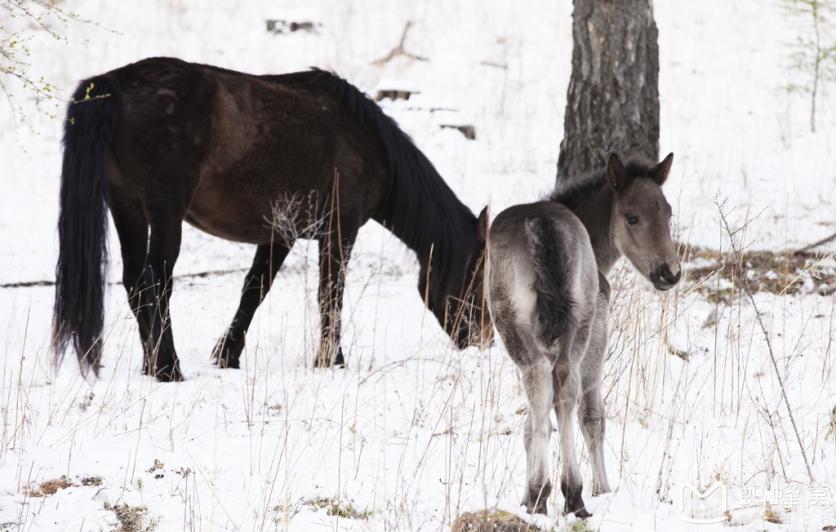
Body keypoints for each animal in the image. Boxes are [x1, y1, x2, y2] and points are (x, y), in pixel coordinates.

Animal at [52, 56, 494, 380]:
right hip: (164, 214)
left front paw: (227, 355)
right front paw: (331, 361)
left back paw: (151, 366)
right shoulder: (340, 230)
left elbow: (254, 290)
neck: (364, 140)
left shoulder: (280, 234)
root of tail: (112, 83)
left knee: (134, 284)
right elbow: (330, 293)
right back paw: (168, 368)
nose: (486, 340)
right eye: (478, 277)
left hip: (127, 208)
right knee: (155, 284)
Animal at [490, 152, 680, 516]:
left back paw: (540, 496)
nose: (670, 273)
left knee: (541, 382)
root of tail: (541, 226)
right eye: (632, 217)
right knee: (564, 386)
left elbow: (530, 425)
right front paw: (602, 488)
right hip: (574, 325)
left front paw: (525, 497)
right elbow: (593, 416)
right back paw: (568, 494)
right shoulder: (600, 330)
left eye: (668, 212)